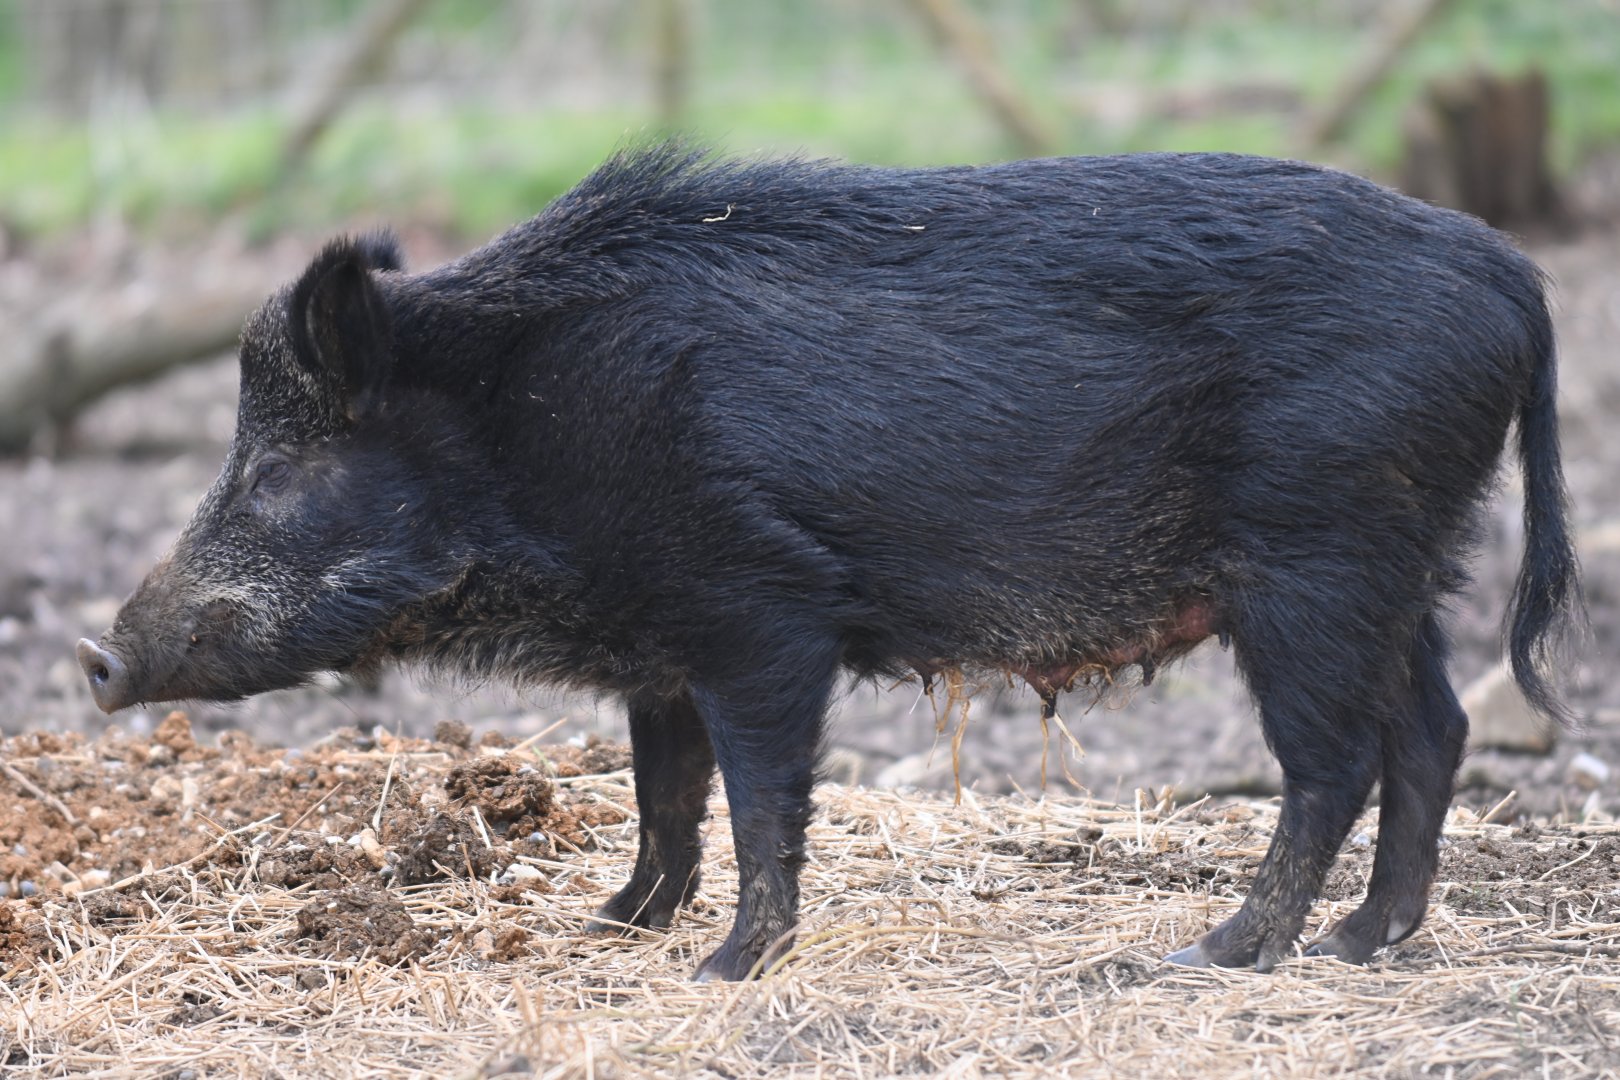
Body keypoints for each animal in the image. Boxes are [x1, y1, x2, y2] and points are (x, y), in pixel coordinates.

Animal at [78, 146, 1578, 979]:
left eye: (281, 469)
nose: (95, 650)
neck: (525, 427)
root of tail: (1519, 280)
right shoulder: (663, 647)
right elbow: (664, 794)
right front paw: (615, 930)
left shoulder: (759, 611)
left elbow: (757, 797)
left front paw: (725, 972)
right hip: (1406, 563)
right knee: (1435, 732)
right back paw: (1362, 945)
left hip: (1317, 561)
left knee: (1333, 763)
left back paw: (1219, 954)